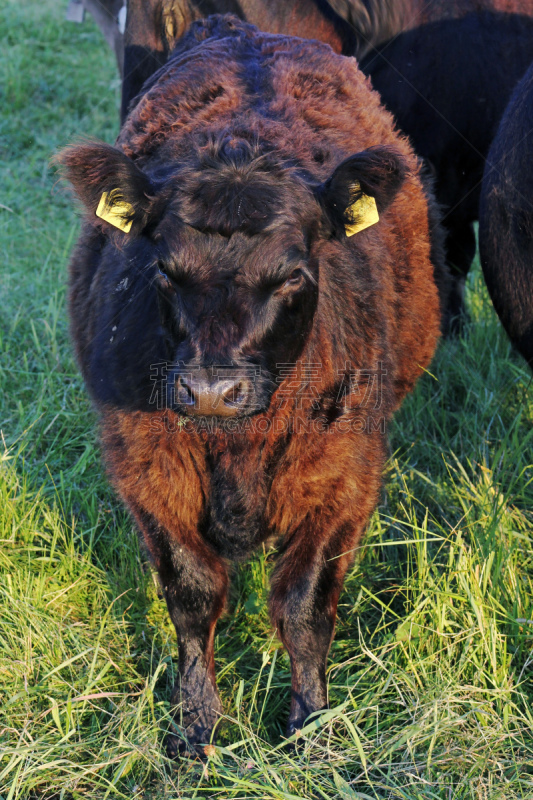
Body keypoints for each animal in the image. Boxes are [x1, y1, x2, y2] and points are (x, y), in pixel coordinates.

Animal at [58, 17, 446, 756]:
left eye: (291, 275)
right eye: (165, 270)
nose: (213, 391)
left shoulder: (343, 472)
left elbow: (303, 604)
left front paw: (310, 726)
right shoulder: (146, 466)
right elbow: (192, 593)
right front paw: (196, 727)